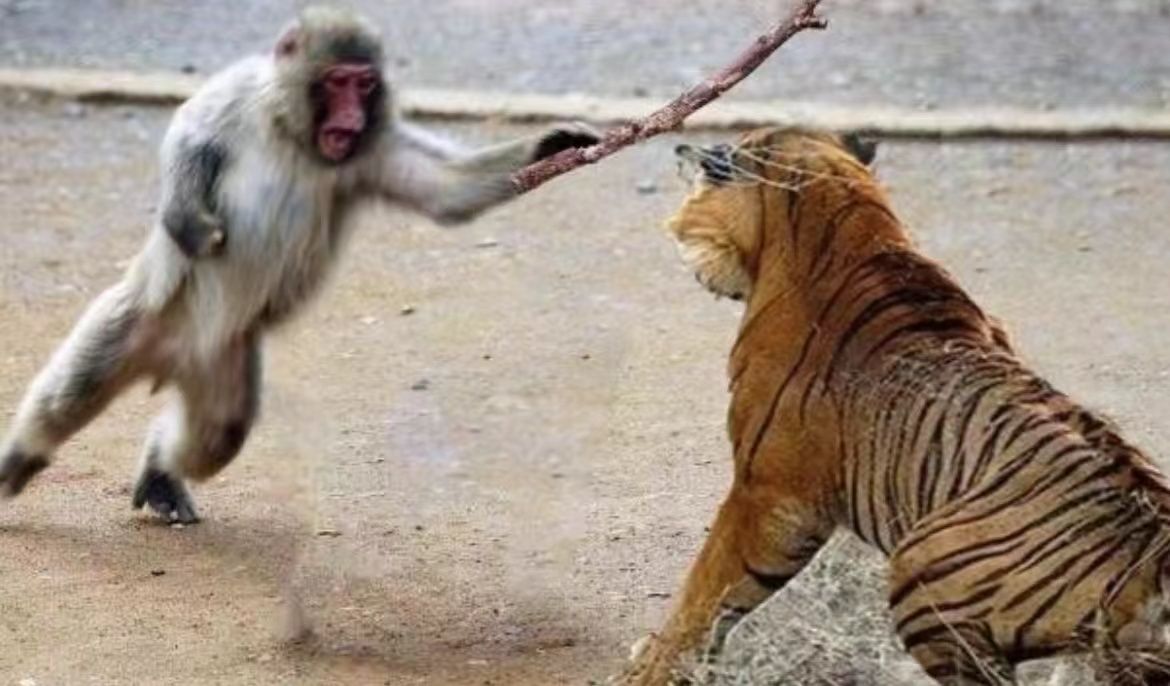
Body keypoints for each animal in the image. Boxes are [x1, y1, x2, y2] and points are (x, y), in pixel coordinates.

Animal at [622, 127, 1170, 685]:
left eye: (716, 165)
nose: (682, 149)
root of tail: (1154, 557)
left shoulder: (769, 493)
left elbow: (708, 588)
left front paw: (652, 667)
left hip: (921, 568)